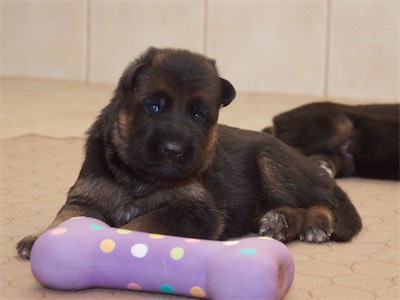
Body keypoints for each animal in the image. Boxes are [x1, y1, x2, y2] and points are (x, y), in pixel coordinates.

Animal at [16, 46, 362, 258]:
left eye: (198, 115)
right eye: (153, 106)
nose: (174, 150)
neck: (137, 178)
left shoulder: (192, 212)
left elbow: (137, 225)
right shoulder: (86, 198)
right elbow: (64, 218)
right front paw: (41, 238)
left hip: (271, 163)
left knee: (325, 202)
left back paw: (314, 224)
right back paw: (279, 223)